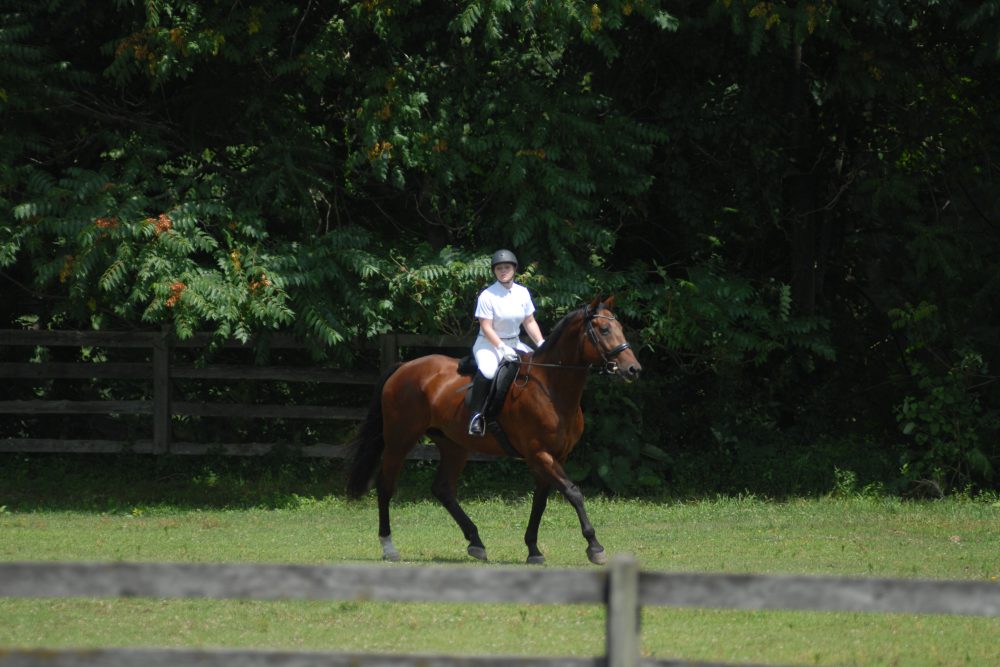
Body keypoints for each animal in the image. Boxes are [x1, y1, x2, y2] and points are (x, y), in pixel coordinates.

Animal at [344, 296, 640, 564]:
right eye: (604, 330)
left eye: (620, 327)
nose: (633, 369)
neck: (551, 387)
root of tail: (403, 367)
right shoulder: (539, 454)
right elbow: (573, 492)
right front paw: (595, 546)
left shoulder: (555, 456)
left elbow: (540, 501)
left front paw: (533, 549)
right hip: (400, 439)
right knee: (386, 486)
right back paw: (389, 547)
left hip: (454, 445)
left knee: (442, 489)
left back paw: (476, 542)